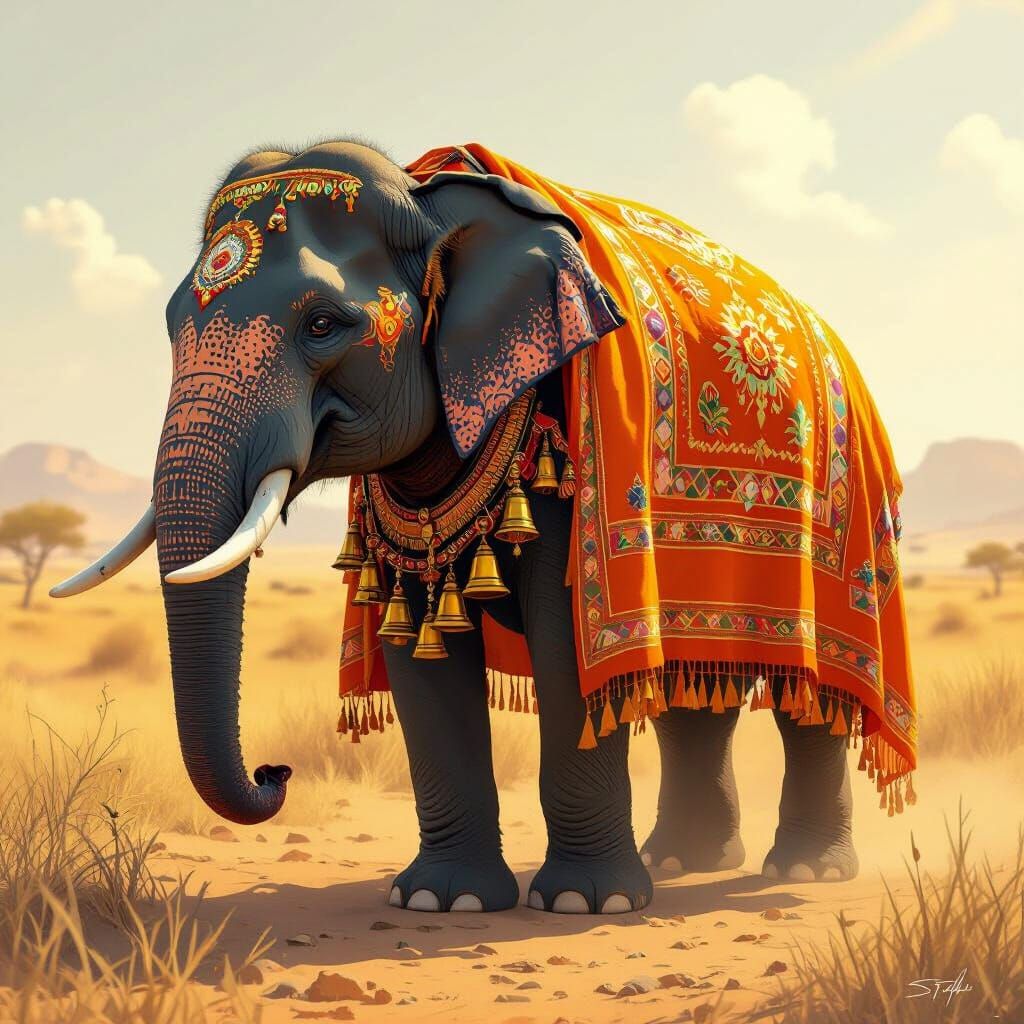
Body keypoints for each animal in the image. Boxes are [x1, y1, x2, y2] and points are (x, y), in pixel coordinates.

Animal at [52, 138, 916, 917]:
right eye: (171, 323)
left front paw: (584, 905)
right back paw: (684, 860)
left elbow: (570, 652)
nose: (276, 774)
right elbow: (417, 657)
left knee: (816, 691)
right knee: (688, 681)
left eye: (324, 324)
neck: (431, 200)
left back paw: (801, 873)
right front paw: (441, 902)